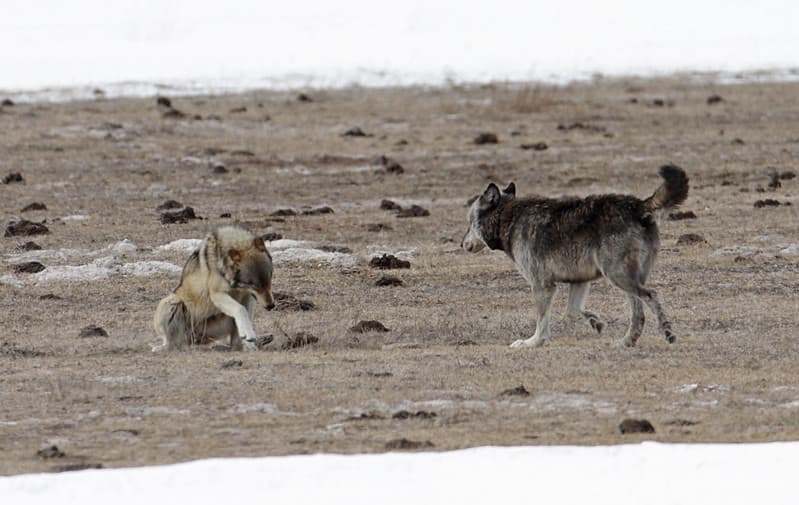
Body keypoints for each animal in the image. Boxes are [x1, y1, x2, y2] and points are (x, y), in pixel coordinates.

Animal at [462, 164, 689, 348]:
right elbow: (572, 311)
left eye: (469, 223)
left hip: (619, 277)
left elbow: (542, 321)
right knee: (638, 315)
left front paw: (532, 343)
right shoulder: (579, 281)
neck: (508, 218)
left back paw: (667, 332)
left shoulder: (542, 285)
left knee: (651, 295)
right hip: (626, 282)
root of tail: (639, 205)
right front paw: (595, 322)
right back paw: (626, 342)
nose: (462, 244)